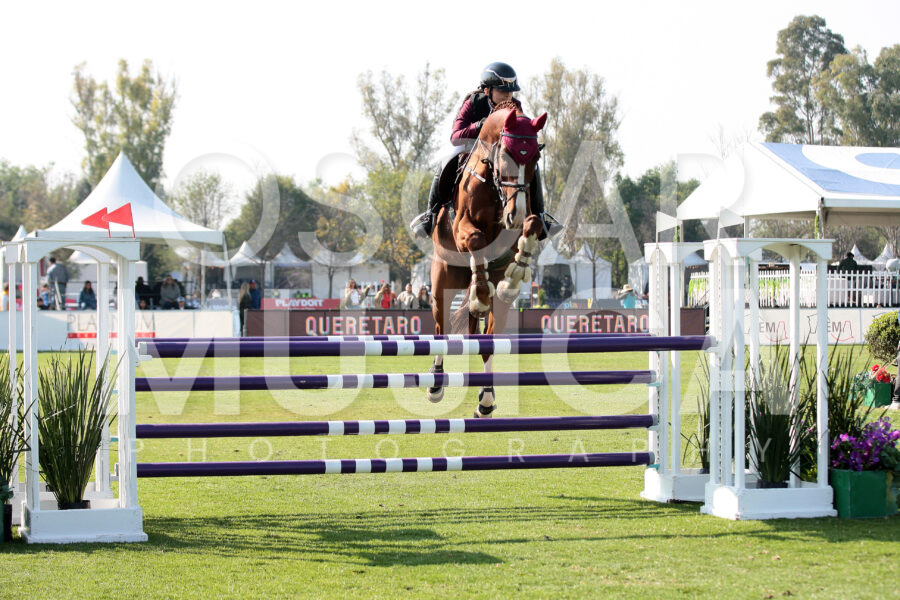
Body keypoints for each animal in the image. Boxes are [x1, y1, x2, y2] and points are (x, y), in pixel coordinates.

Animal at [427, 102, 547, 417]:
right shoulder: (462, 227)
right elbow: (475, 239)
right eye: (505, 154)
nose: (515, 213)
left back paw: (486, 399)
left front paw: (516, 273)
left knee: (488, 340)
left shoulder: (520, 222)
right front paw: (479, 296)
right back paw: (436, 384)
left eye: (535, 157)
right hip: (442, 283)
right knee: (441, 329)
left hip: (501, 307)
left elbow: (531, 226)